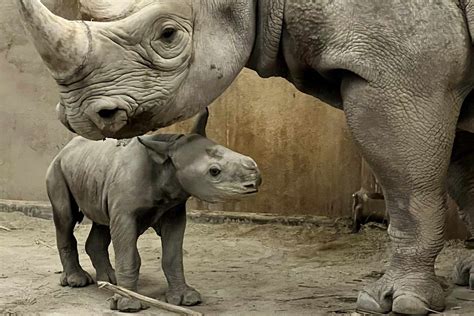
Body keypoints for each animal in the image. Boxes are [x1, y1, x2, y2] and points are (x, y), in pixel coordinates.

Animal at [45, 110, 262, 312]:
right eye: (214, 172)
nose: (256, 180)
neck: (167, 161)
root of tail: (65, 148)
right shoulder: (125, 214)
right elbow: (129, 256)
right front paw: (128, 305)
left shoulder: (173, 210)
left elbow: (173, 256)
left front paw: (186, 299)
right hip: (57, 168)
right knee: (66, 218)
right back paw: (78, 281)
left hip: (92, 170)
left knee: (102, 221)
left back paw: (110, 281)